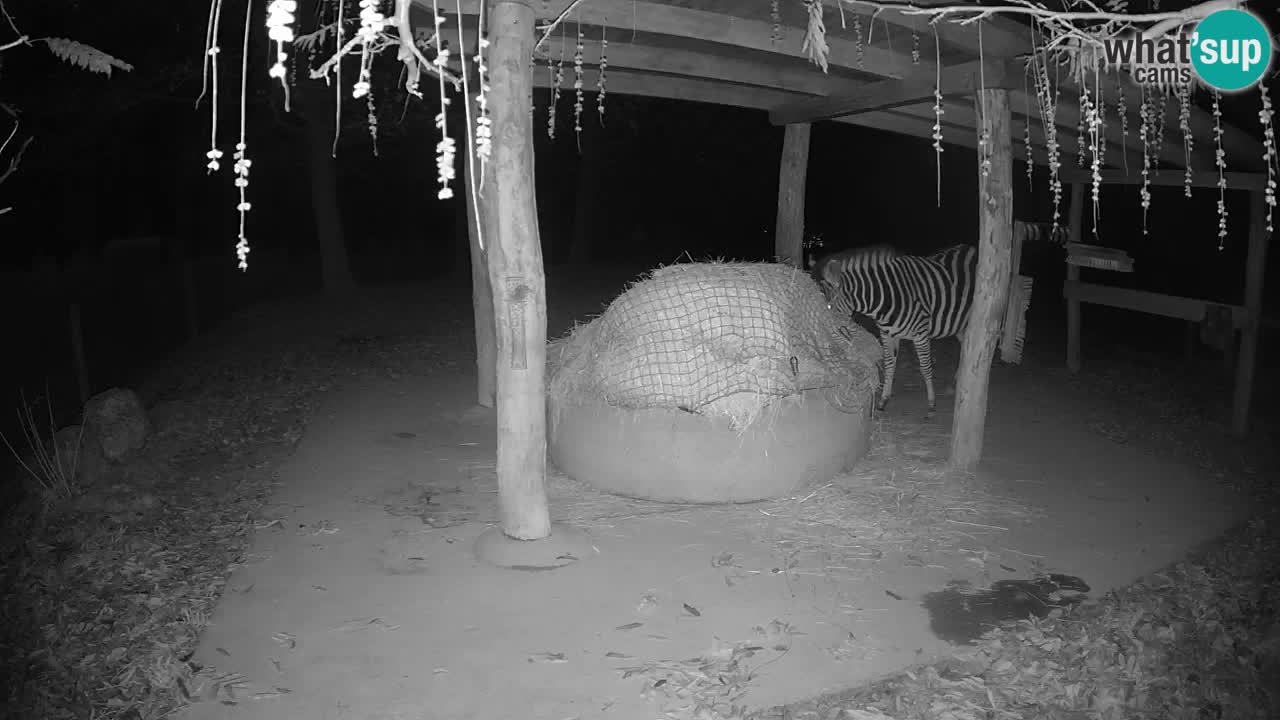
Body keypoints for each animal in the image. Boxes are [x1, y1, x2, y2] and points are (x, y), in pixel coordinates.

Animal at [808, 243, 977, 417]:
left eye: (828, 307)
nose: (821, 345)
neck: (886, 298)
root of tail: (971, 247)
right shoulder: (887, 334)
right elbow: (889, 365)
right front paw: (883, 400)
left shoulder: (921, 334)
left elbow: (925, 367)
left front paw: (931, 403)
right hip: (959, 324)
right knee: (965, 345)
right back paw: (957, 379)